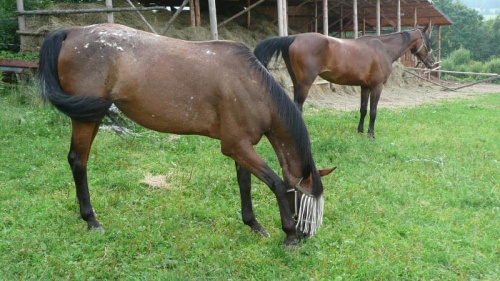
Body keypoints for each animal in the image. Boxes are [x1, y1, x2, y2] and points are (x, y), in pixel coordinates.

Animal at [38, 23, 336, 244]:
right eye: (304, 201)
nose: (307, 234)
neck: (250, 86)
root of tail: (71, 32)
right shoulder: (235, 146)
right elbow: (275, 183)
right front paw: (288, 235)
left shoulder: (242, 145)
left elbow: (245, 183)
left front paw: (253, 224)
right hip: (85, 119)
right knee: (78, 161)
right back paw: (91, 220)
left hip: (91, 116)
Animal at [254, 24, 434, 138]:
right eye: (428, 41)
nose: (432, 63)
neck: (382, 48)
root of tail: (294, 37)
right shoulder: (377, 87)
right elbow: (373, 111)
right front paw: (371, 134)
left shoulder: (365, 87)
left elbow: (363, 110)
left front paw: (360, 131)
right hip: (305, 84)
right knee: (298, 106)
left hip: (297, 81)